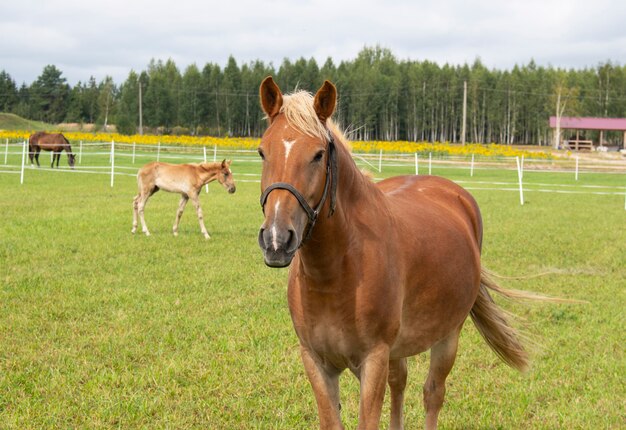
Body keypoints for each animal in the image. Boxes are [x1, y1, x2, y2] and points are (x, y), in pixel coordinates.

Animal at [255, 77, 536, 430]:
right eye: (262, 151)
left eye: (318, 155)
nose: (276, 239)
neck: (338, 271)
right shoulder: (316, 362)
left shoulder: (373, 360)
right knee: (400, 382)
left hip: (448, 335)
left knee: (433, 393)